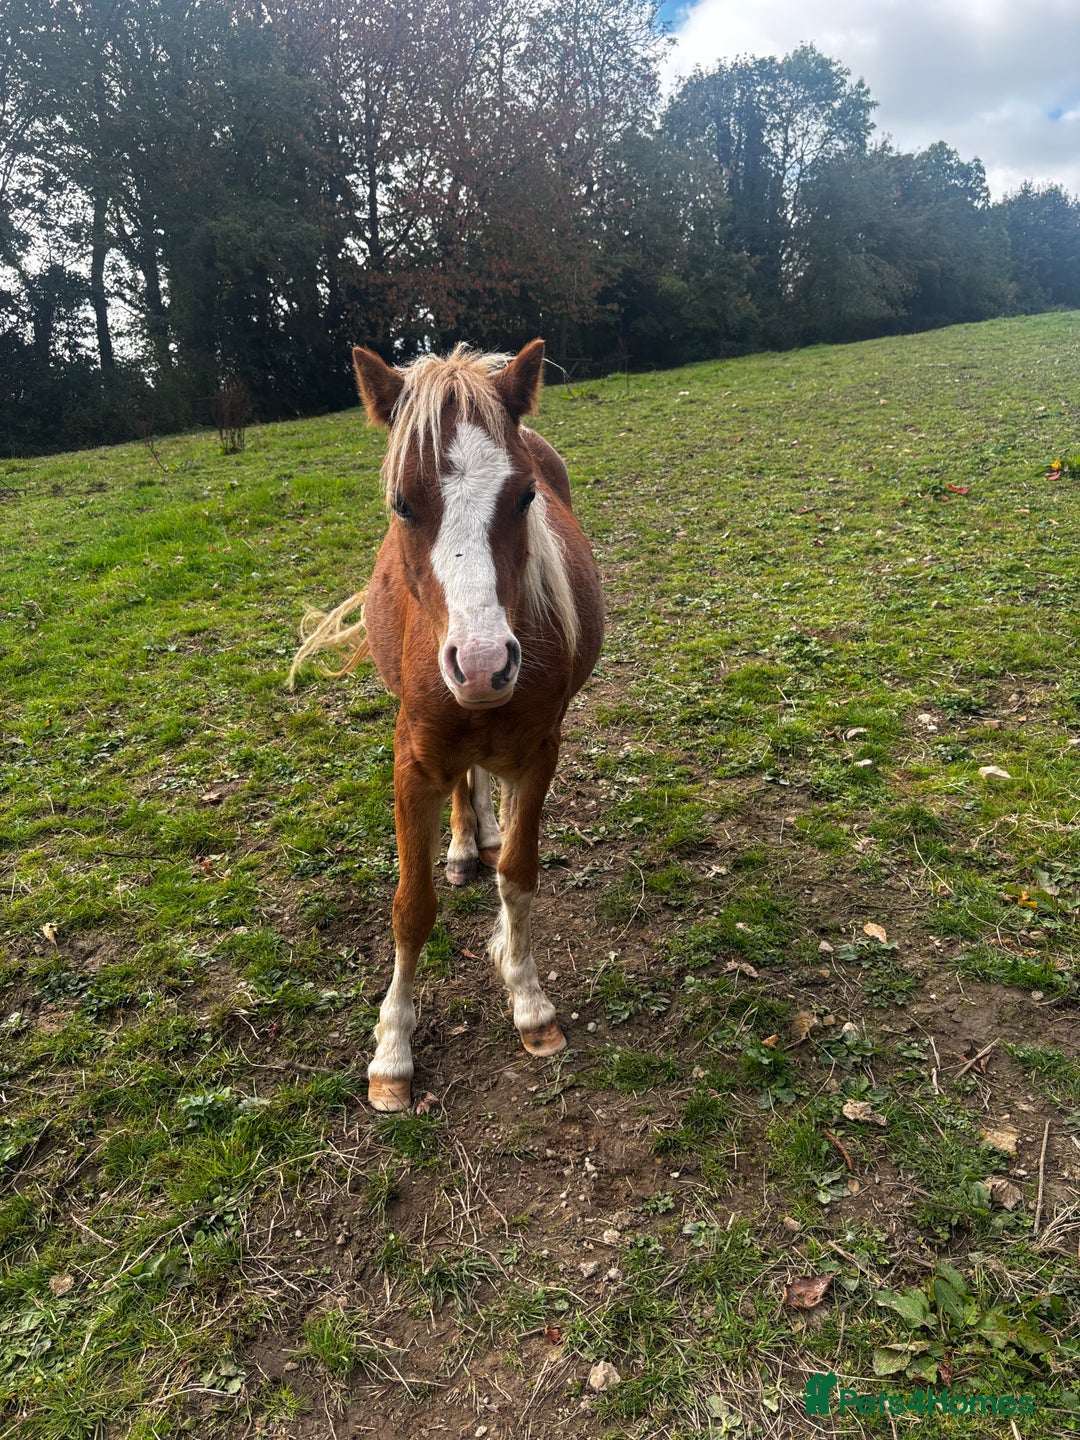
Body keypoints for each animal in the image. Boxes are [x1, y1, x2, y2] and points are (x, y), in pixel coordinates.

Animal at [288, 340, 604, 1111]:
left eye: (525, 496)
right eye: (403, 503)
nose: (484, 664)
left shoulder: (538, 754)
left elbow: (518, 876)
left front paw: (528, 1001)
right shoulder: (413, 765)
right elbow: (411, 907)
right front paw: (392, 1054)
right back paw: (462, 846)